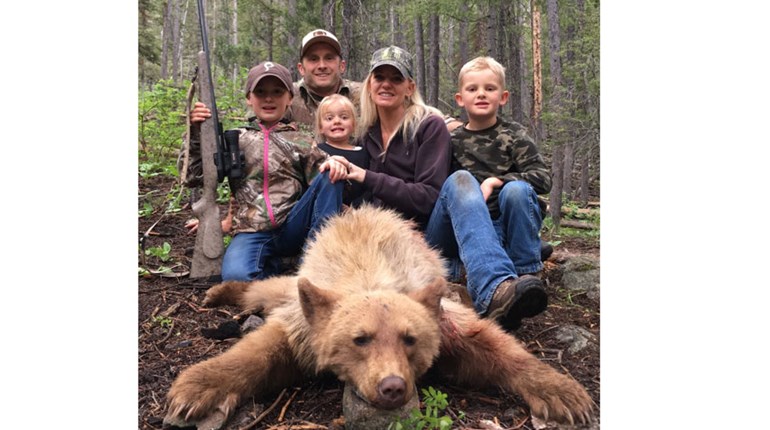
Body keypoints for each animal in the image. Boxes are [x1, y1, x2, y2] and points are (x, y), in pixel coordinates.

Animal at [164, 205, 594, 428]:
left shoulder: (442, 318)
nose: (392, 387)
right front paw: (195, 389)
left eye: (410, 338)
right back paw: (219, 291)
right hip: (298, 283)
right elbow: (263, 349)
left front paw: (563, 394)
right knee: (269, 289)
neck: (370, 273)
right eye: (360, 338)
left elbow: (489, 346)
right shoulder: (306, 323)